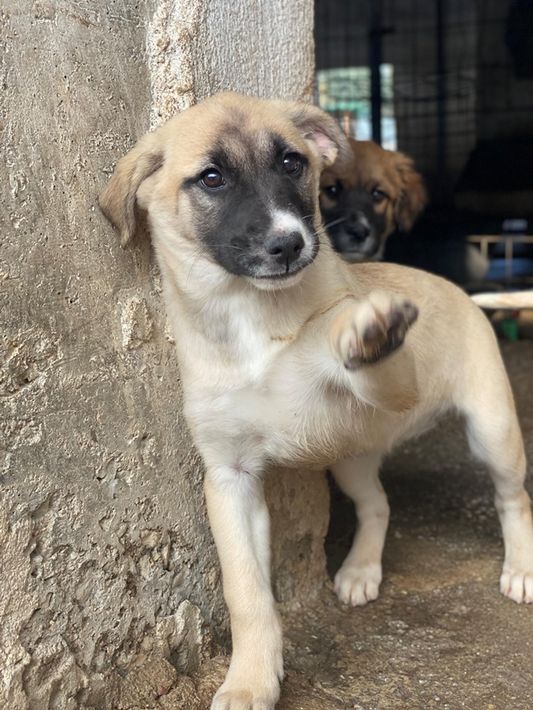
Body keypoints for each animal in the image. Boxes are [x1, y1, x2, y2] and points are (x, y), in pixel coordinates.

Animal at [100, 93, 533, 710]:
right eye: (211, 178)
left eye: (292, 163)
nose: (290, 243)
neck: (251, 316)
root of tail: (458, 290)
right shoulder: (230, 478)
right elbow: (246, 592)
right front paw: (251, 679)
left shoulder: (398, 383)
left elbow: (349, 343)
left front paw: (365, 328)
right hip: (352, 457)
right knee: (377, 505)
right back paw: (360, 570)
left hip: (492, 429)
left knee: (512, 497)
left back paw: (519, 567)